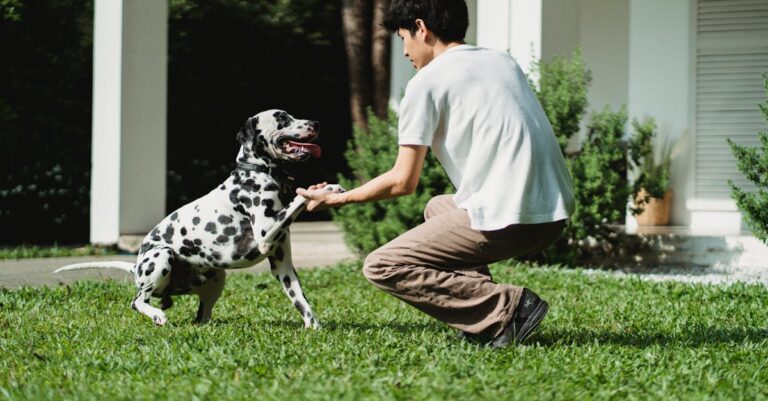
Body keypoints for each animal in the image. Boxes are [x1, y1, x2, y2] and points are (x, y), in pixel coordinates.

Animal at [58, 108, 346, 326]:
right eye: (282, 117)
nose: (317, 124)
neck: (259, 172)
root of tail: (137, 265)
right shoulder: (266, 235)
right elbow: (300, 197)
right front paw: (327, 190)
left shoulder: (283, 266)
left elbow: (302, 303)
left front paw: (314, 328)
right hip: (161, 257)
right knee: (137, 300)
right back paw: (157, 315)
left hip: (217, 277)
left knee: (200, 317)